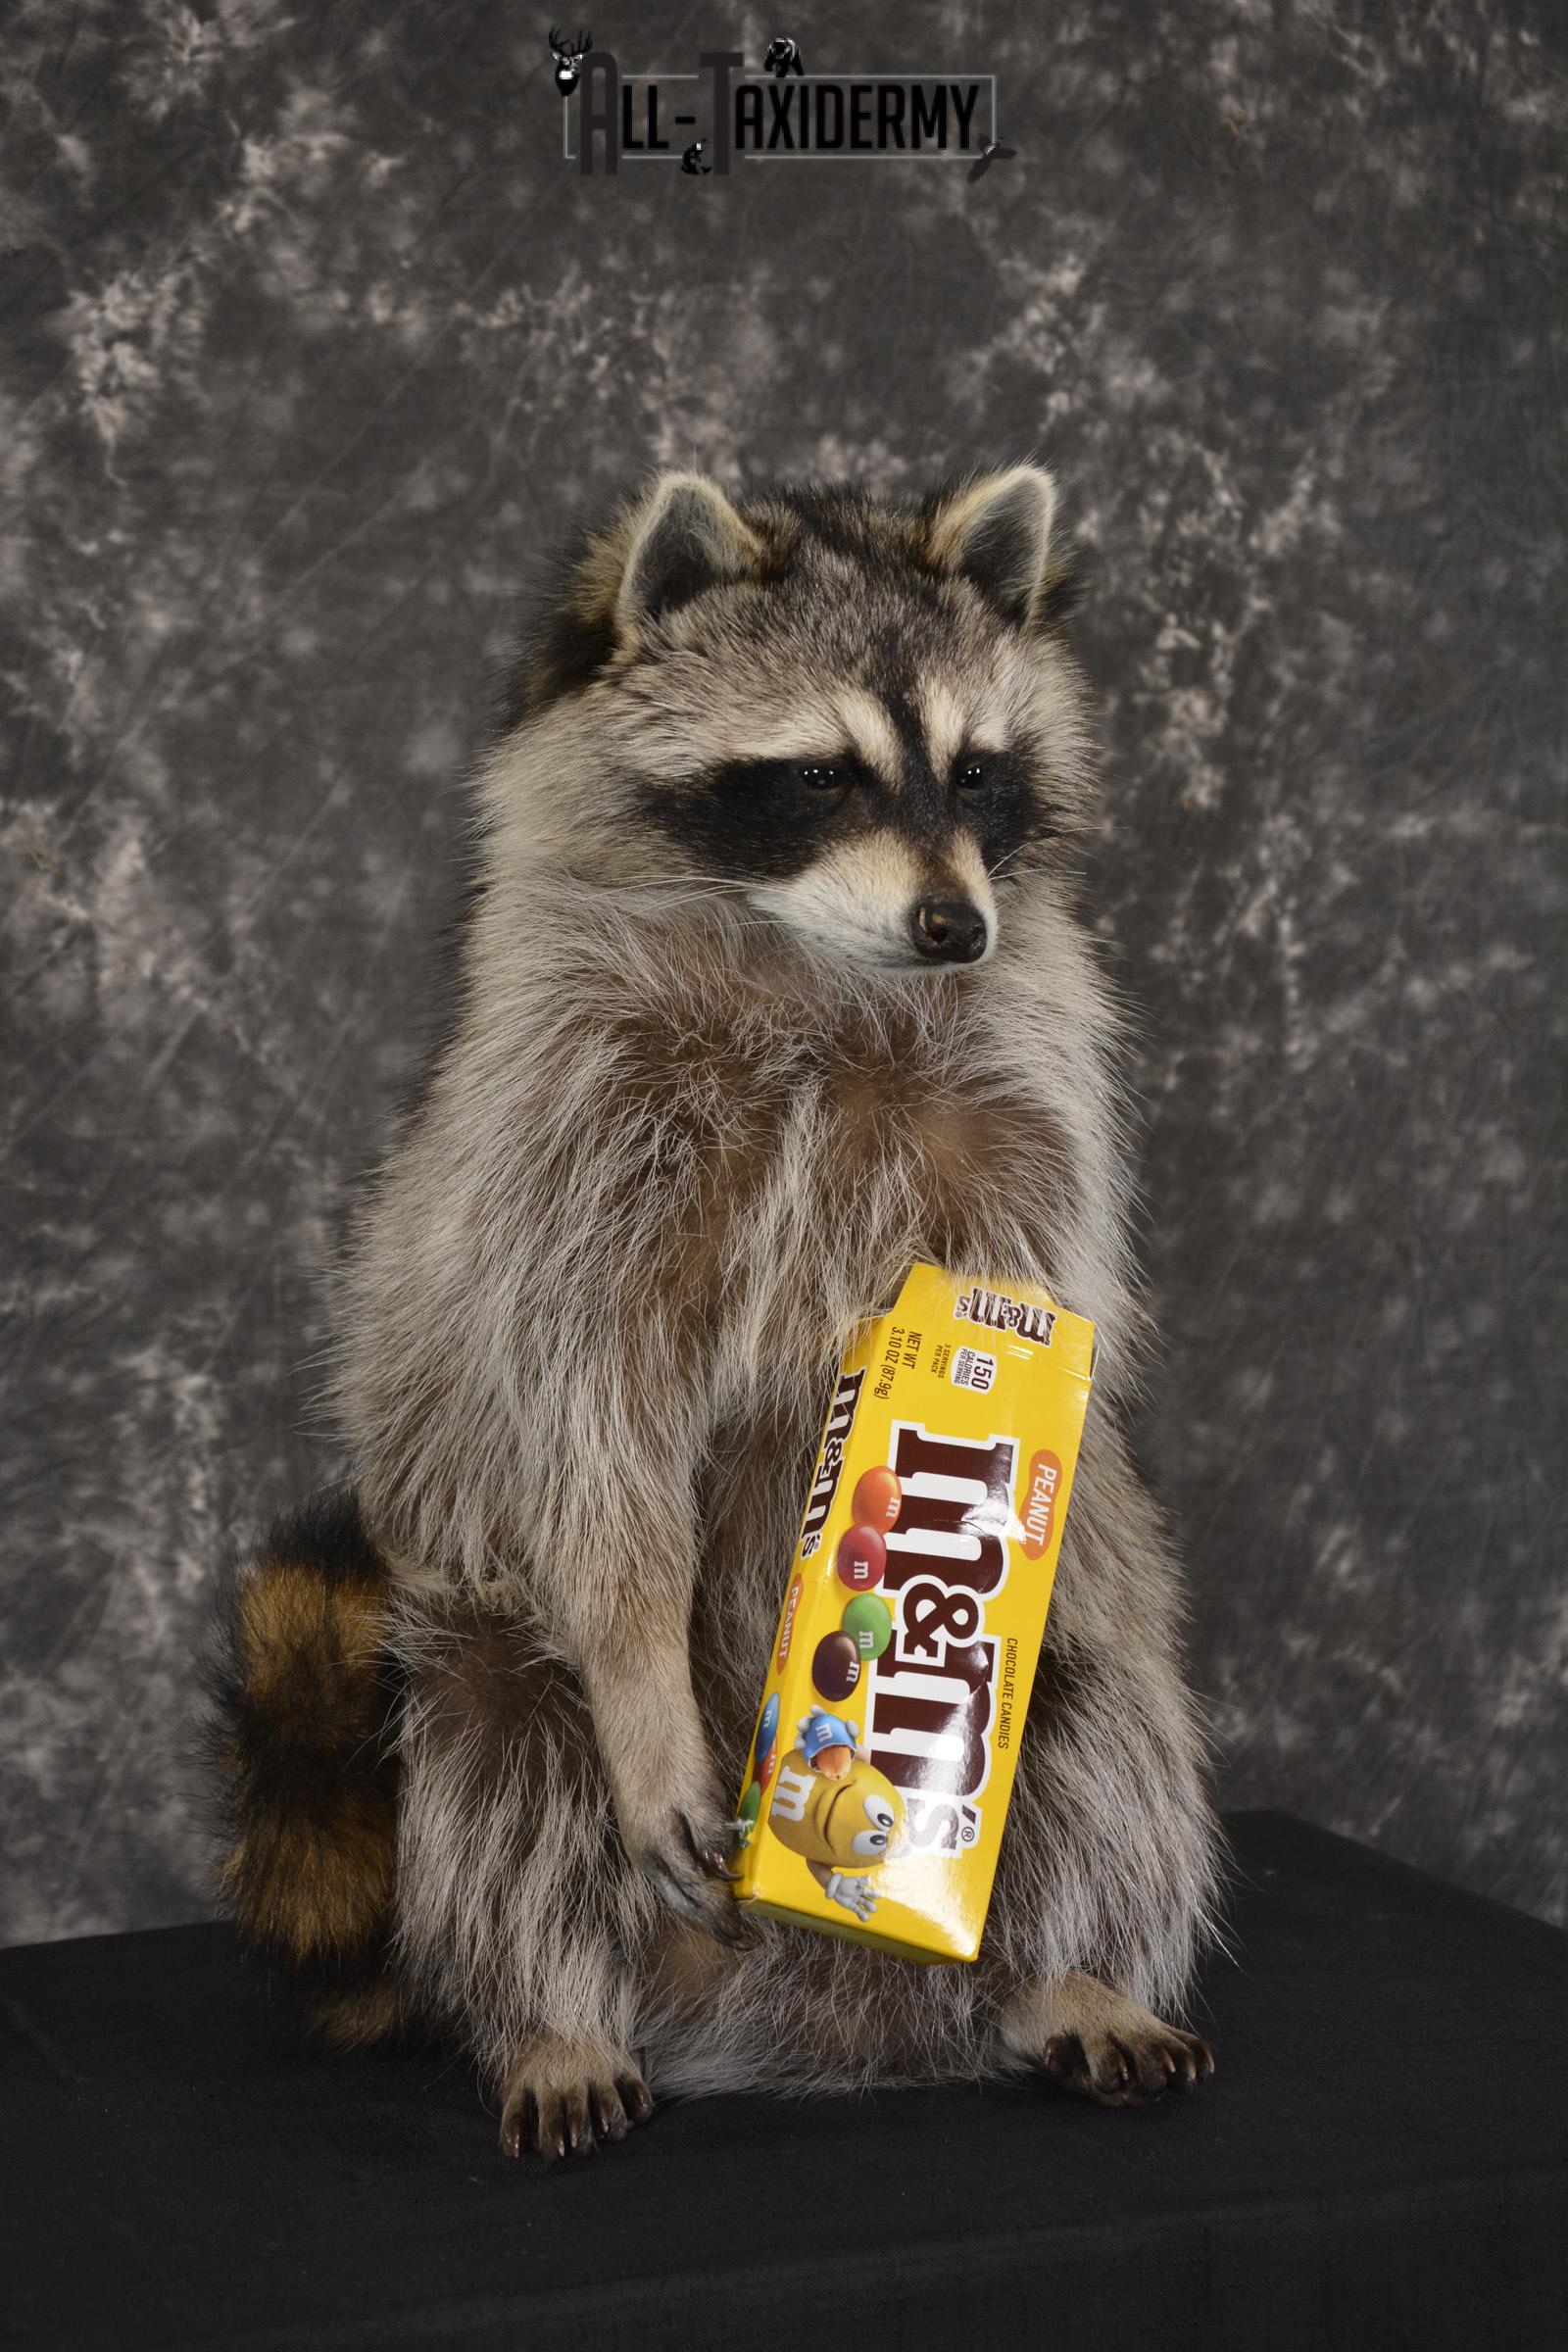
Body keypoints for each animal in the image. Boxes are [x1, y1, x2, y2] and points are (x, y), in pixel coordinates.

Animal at [212, 466, 1223, 2157]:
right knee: (499, 1757)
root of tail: (813, 2021)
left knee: (1108, 1707)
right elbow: (585, 1414)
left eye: (975, 771)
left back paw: (1067, 1975)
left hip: (1081, 1668)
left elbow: (1048, 1309)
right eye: (817, 776)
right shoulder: (566, 1134)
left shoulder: (1026, 1099)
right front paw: (637, 1665)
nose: (955, 926)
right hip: (473, 1637)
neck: (813, 955)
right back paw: (550, 2012)